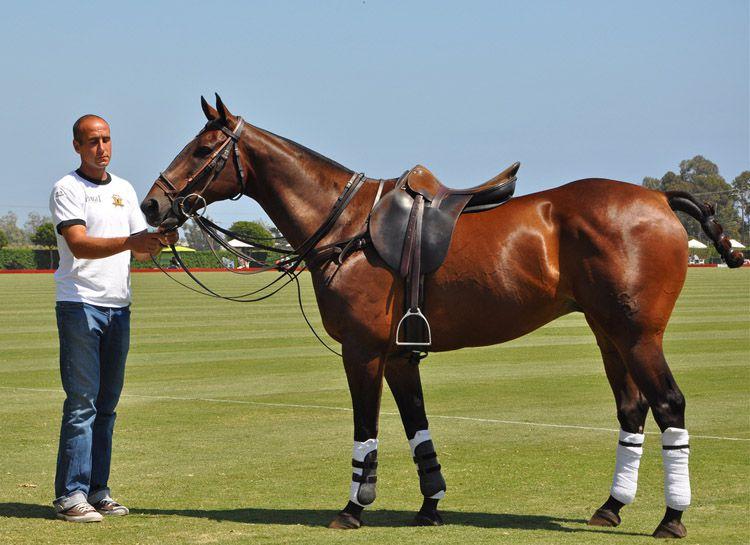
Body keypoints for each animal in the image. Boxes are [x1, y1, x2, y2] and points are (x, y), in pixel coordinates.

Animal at [140, 95, 743, 538]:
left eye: (202, 148)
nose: (152, 205)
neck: (345, 228)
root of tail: (661, 201)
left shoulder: (362, 351)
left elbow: (365, 430)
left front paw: (354, 507)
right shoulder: (399, 355)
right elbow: (417, 427)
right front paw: (430, 505)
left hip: (639, 333)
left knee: (668, 405)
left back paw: (672, 518)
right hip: (607, 331)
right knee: (632, 408)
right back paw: (611, 506)